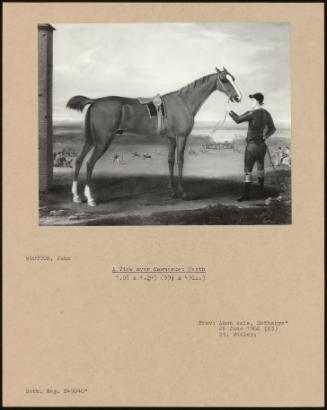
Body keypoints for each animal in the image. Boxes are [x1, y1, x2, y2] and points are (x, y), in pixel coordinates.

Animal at [67, 68, 241, 208]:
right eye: (224, 79)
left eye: (234, 78)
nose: (238, 97)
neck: (183, 102)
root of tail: (95, 101)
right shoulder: (181, 137)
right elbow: (180, 161)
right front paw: (183, 193)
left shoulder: (171, 139)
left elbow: (170, 161)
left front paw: (173, 192)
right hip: (102, 141)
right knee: (89, 163)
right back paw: (91, 199)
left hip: (90, 140)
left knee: (79, 160)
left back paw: (76, 196)